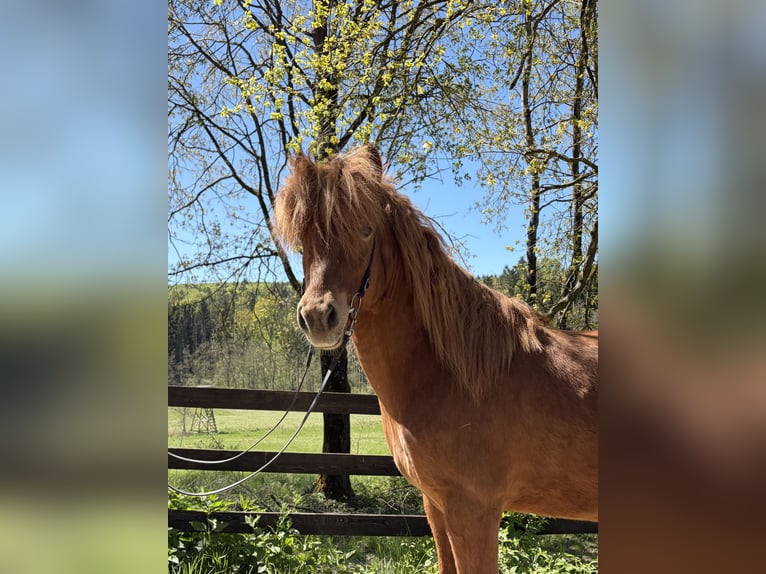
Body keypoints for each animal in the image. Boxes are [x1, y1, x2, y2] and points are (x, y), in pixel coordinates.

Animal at [273, 145, 598, 574]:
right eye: (305, 237)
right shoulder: (437, 507)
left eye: (366, 229)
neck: (450, 377)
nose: (317, 316)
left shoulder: (473, 512)